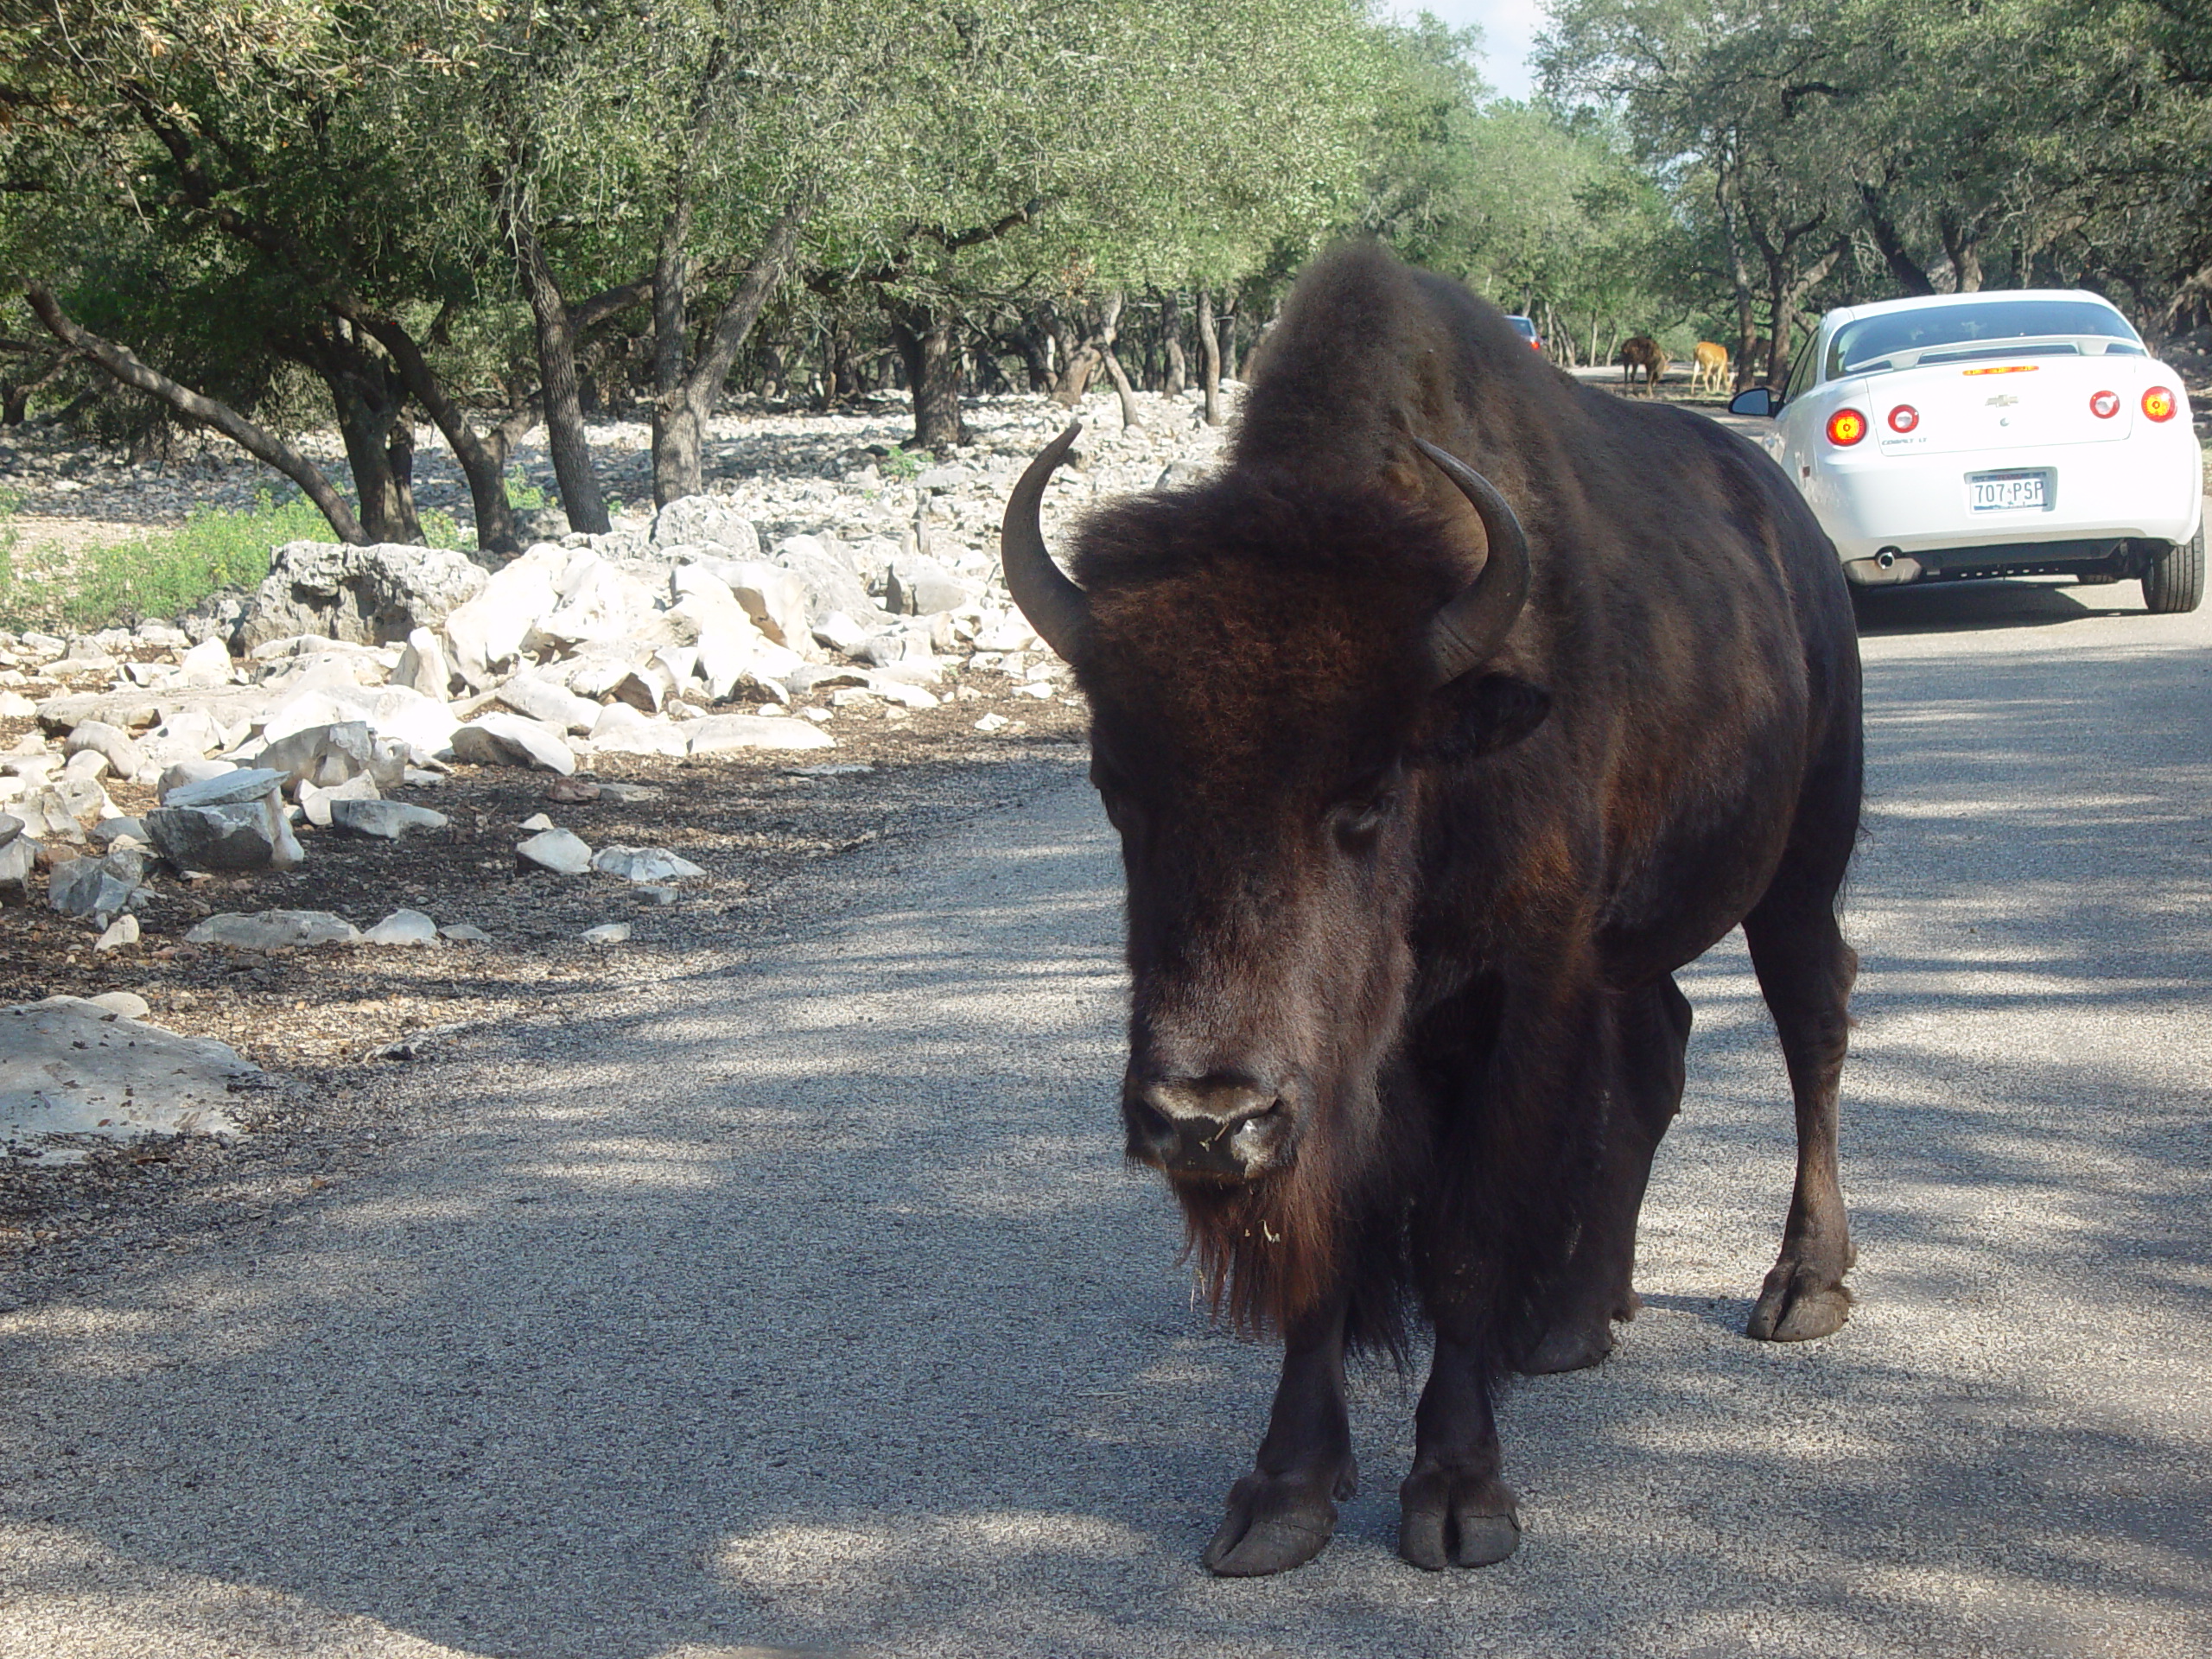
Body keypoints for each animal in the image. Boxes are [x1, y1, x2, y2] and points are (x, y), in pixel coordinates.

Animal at [1004, 246, 1866, 1583]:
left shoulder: (1516, 996)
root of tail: (1797, 542)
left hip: (1797, 870)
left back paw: (1800, 1289)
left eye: (1367, 796)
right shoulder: (1351, 1071)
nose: (1204, 1120)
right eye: (1116, 787)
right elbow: (1327, 1255)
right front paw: (1282, 1495)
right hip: (1632, 948)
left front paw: (1460, 1498)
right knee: (1658, 1051)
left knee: (1812, 1029)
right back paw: (1573, 1322)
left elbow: (1465, 1233)